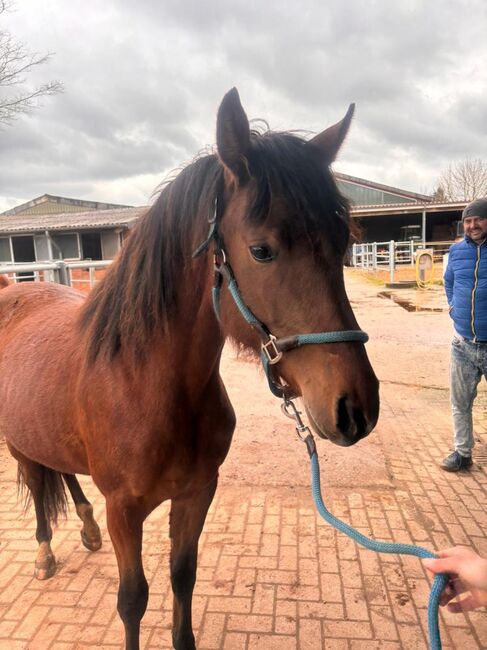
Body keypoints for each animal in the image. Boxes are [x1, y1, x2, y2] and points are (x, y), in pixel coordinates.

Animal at [0, 87, 382, 648]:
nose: (356, 408)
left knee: (61, 471)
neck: (146, 385)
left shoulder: (198, 493)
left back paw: (85, 530)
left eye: (344, 244)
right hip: (16, 440)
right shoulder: (125, 511)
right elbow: (133, 601)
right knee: (34, 474)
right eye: (261, 250)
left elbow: (183, 576)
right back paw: (46, 552)